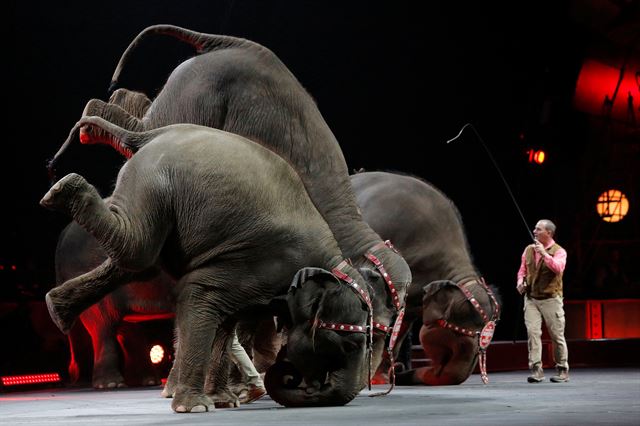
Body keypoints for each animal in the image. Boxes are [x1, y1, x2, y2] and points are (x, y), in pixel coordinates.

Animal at [42, 117, 372, 412]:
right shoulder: (263, 262)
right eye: (349, 345)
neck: (332, 262)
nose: (290, 375)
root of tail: (149, 136)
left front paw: (223, 401)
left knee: (139, 261)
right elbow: (199, 294)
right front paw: (196, 407)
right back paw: (62, 188)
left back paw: (56, 309)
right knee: (137, 249)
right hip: (152, 180)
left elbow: (226, 322)